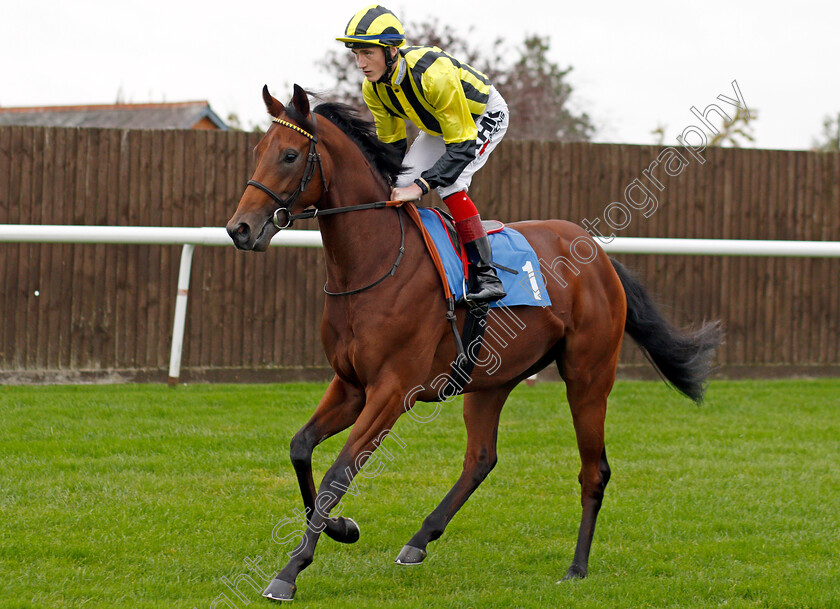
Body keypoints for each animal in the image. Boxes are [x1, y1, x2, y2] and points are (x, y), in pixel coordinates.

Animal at [225, 83, 720, 600]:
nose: (239, 228)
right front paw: (343, 528)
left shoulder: (392, 392)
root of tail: (599, 257)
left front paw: (290, 570)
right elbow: (301, 448)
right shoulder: (350, 384)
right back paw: (419, 540)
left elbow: (338, 472)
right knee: (481, 458)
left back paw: (576, 567)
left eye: (289, 155)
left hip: (588, 376)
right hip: (491, 380)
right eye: (258, 151)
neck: (376, 262)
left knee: (594, 470)